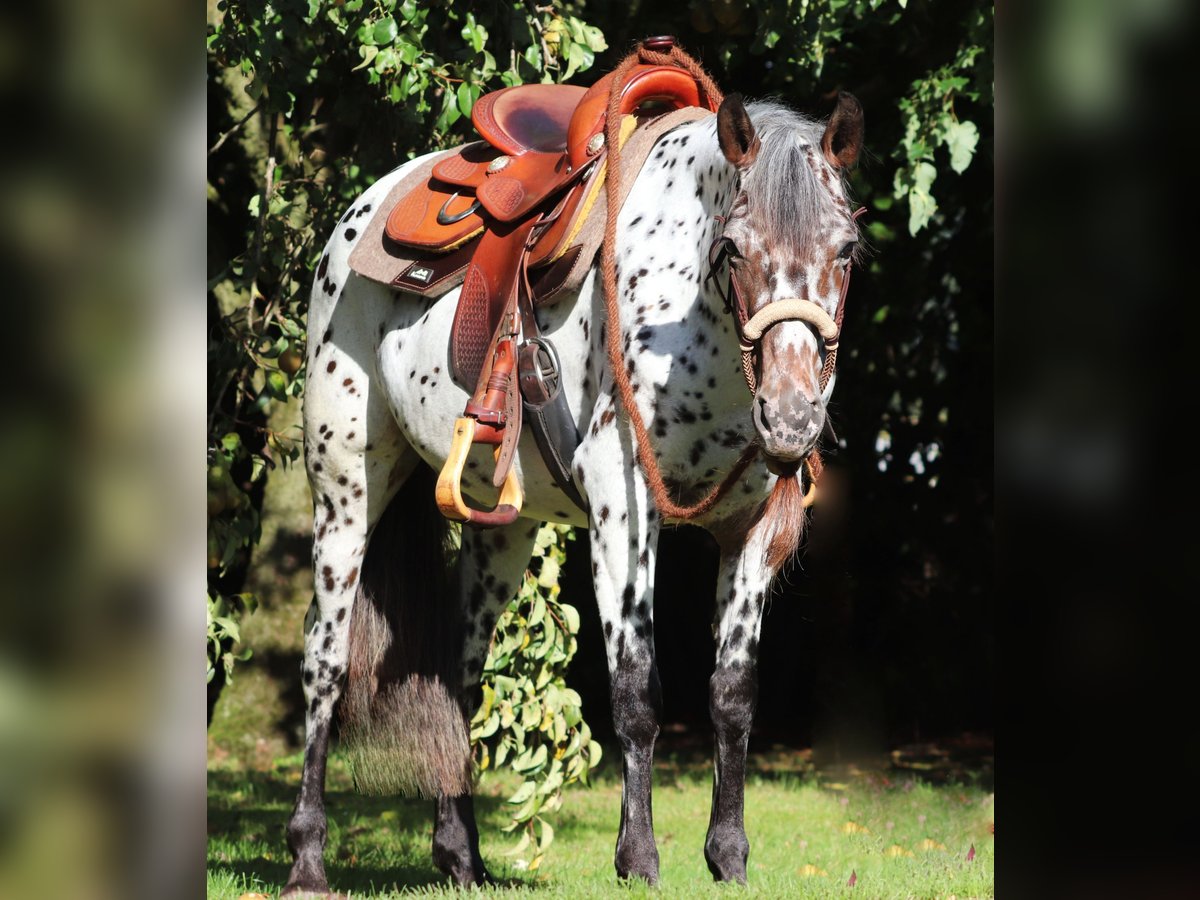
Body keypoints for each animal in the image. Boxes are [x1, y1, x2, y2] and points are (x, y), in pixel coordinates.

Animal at [281, 89, 864, 895]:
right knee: (324, 660)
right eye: (735, 248)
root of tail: (365, 211)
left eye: (847, 251)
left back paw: (461, 856)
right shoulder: (624, 514)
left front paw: (728, 856)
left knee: (458, 673)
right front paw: (639, 858)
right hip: (345, 494)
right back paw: (308, 858)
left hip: (499, 531)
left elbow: (732, 694)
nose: (792, 415)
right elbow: (637, 692)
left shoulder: (751, 532)